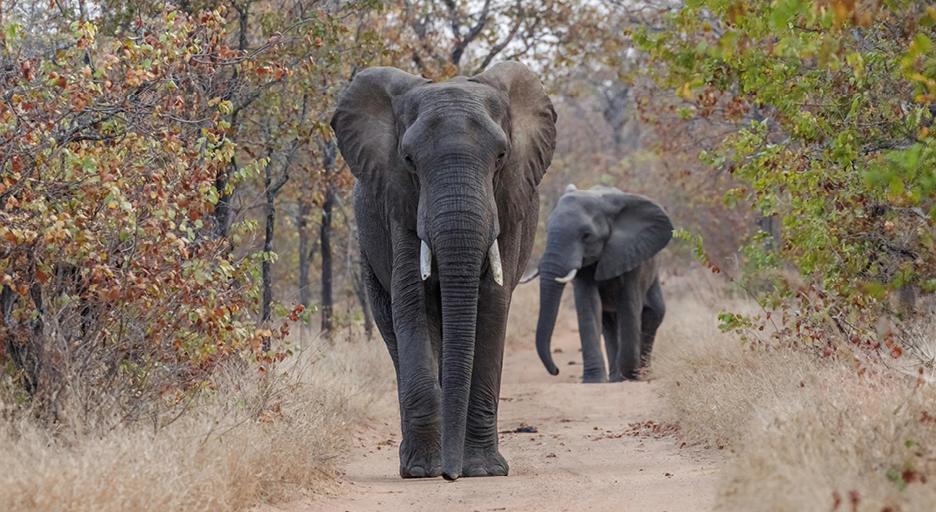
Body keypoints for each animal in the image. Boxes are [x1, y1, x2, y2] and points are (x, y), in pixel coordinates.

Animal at [330, 61, 556, 480]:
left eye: (501, 155)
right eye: (408, 160)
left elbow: (492, 307)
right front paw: (423, 471)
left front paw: (483, 471)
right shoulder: (400, 205)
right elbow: (412, 305)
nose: (452, 476)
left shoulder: (508, 205)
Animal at [528, 184, 672, 380]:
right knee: (609, 324)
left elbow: (629, 305)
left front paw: (632, 375)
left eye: (586, 236)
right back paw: (616, 378)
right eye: (547, 231)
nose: (556, 370)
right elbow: (588, 305)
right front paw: (594, 380)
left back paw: (641, 375)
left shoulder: (631, 252)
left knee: (653, 314)